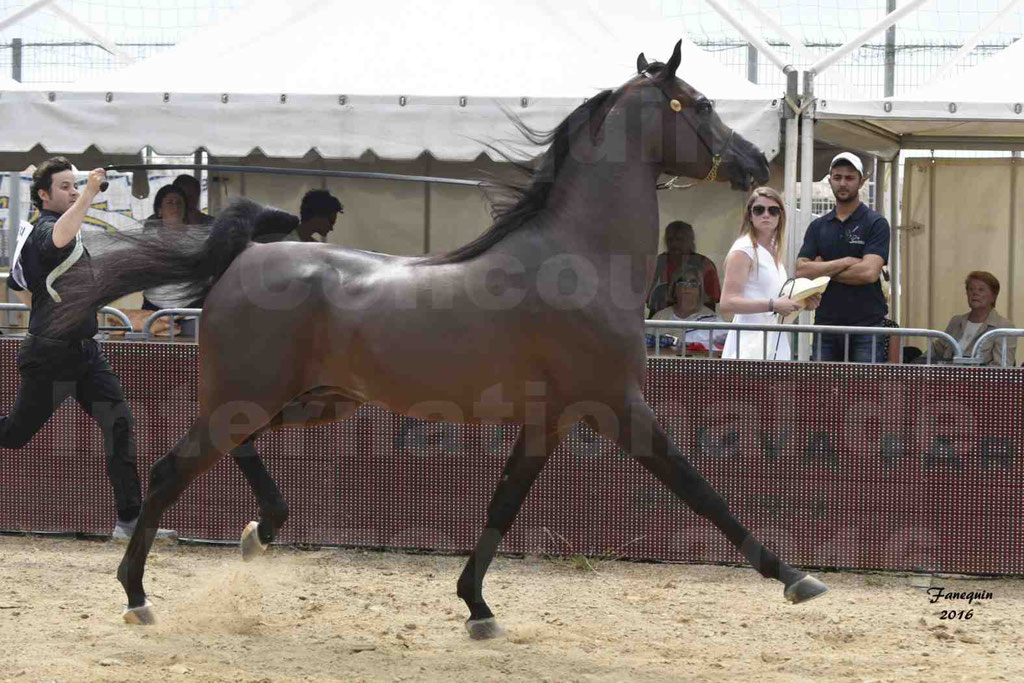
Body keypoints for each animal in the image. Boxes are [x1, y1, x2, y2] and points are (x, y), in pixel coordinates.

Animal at [51, 41, 827, 634]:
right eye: (700, 104)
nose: (753, 164)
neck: (579, 257)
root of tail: (241, 257)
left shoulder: (549, 419)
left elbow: (503, 504)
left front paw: (476, 606)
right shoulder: (616, 405)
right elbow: (702, 489)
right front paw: (795, 577)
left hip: (309, 400)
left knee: (232, 454)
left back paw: (261, 529)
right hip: (248, 397)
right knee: (168, 472)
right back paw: (138, 595)